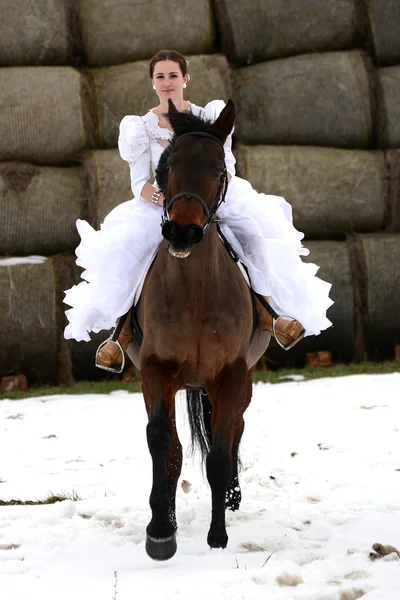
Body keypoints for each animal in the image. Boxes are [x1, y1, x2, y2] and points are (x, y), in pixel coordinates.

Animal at [127, 99, 272, 564]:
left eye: (218, 169)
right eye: (169, 164)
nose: (183, 231)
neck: (194, 293)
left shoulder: (231, 375)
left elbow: (220, 456)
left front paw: (218, 536)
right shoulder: (155, 369)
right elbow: (163, 443)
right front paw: (160, 532)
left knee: (233, 434)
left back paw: (230, 498)